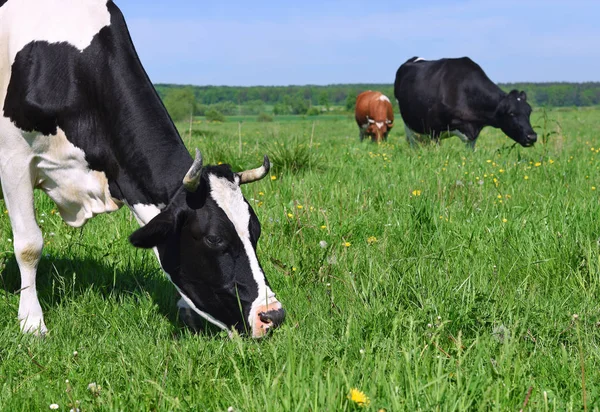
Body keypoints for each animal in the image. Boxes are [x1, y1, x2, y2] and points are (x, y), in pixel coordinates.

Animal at [0, 0, 286, 338]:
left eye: (255, 230)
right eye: (214, 239)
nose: (272, 315)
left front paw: (184, 308)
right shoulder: (13, 158)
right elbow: (29, 245)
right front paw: (32, 323)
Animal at [394, 56, 540, 148]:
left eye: (529, 112)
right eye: (511, 113)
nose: (532, 137)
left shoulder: (473, 133)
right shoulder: (434, 129)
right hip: (409, 125)